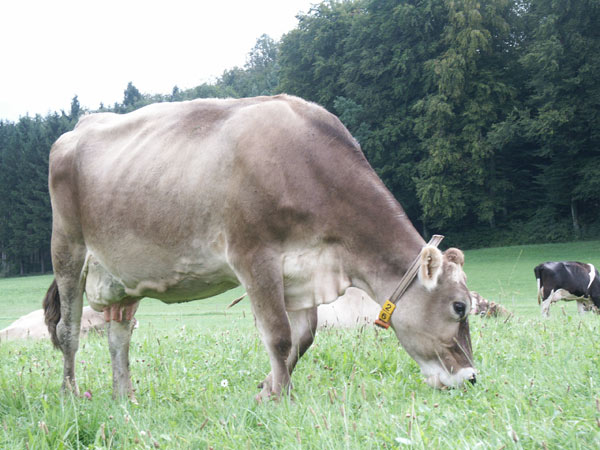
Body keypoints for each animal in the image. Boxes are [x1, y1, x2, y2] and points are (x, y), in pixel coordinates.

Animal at [42, 95, 476, 400]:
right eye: (459, 307)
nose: (471, 377)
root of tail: (81, 126)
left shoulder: (302, 270)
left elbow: (303, 337)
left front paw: (267, 389)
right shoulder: (254, 256)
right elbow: (279, 335)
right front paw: (282, 397)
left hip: (121, 274)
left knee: (119, 332)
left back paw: (124, 396)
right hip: (67, 247)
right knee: (67, 330)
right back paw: (70, 393)